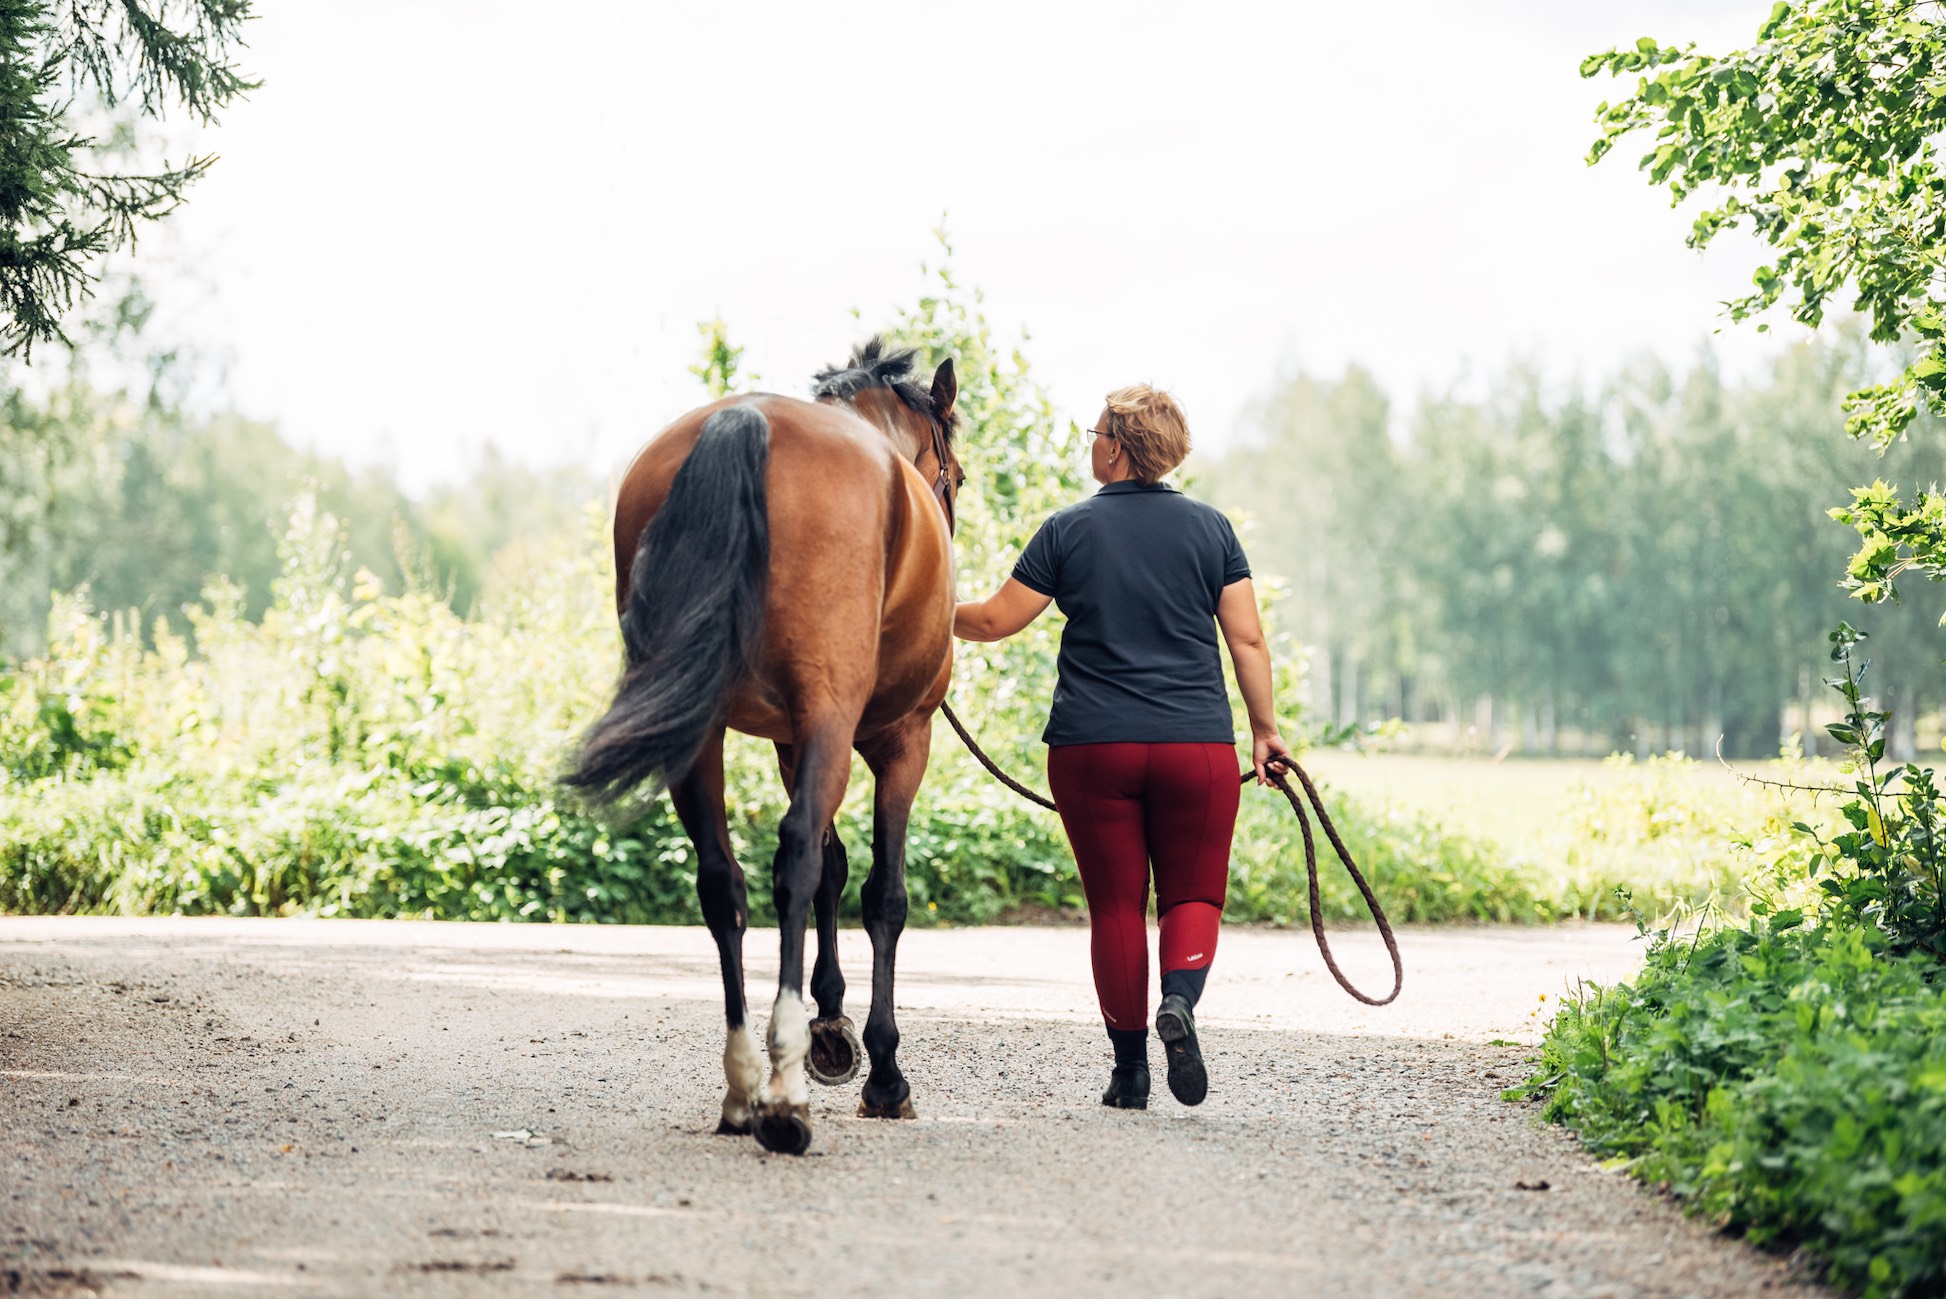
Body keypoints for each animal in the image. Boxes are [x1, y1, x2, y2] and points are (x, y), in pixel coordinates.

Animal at [560, 338, 961, 1158]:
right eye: (958, 475)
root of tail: (744, 421)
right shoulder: (900, 739)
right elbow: (879, 893)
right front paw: (882, 1071)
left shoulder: (790, 742)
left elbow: (835, 871)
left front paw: (832, 1028)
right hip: (832, 719)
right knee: (795, 857)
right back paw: (782, 1093)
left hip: (698, 730)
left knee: (723, 880)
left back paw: (745, 1084)